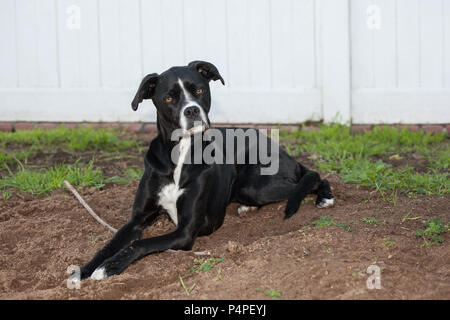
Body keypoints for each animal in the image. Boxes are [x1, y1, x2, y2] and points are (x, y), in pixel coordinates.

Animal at [74, 60, 334, 280]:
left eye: (198, 91)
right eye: (169, 98)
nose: (192, 111)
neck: (180, 152)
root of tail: (281, 149)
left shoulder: (186, 231)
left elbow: (139, 244)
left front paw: (109, 267)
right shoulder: (137, 219)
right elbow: (111, 243)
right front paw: (85, 269)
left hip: (254, 185)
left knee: (313, 177)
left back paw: (325, 198)